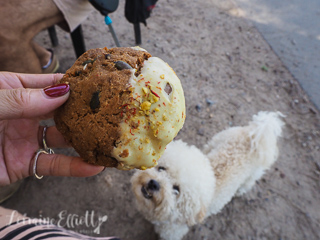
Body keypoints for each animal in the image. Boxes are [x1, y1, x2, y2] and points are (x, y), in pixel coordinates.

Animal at [131, 111, 284, 239]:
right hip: (217, 140)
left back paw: (241, 191)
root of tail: (255, 137)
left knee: (248, 183)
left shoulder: (173, 233)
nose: (154, 184)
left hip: (253, 174)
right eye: (161, 168)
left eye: (176, 190)